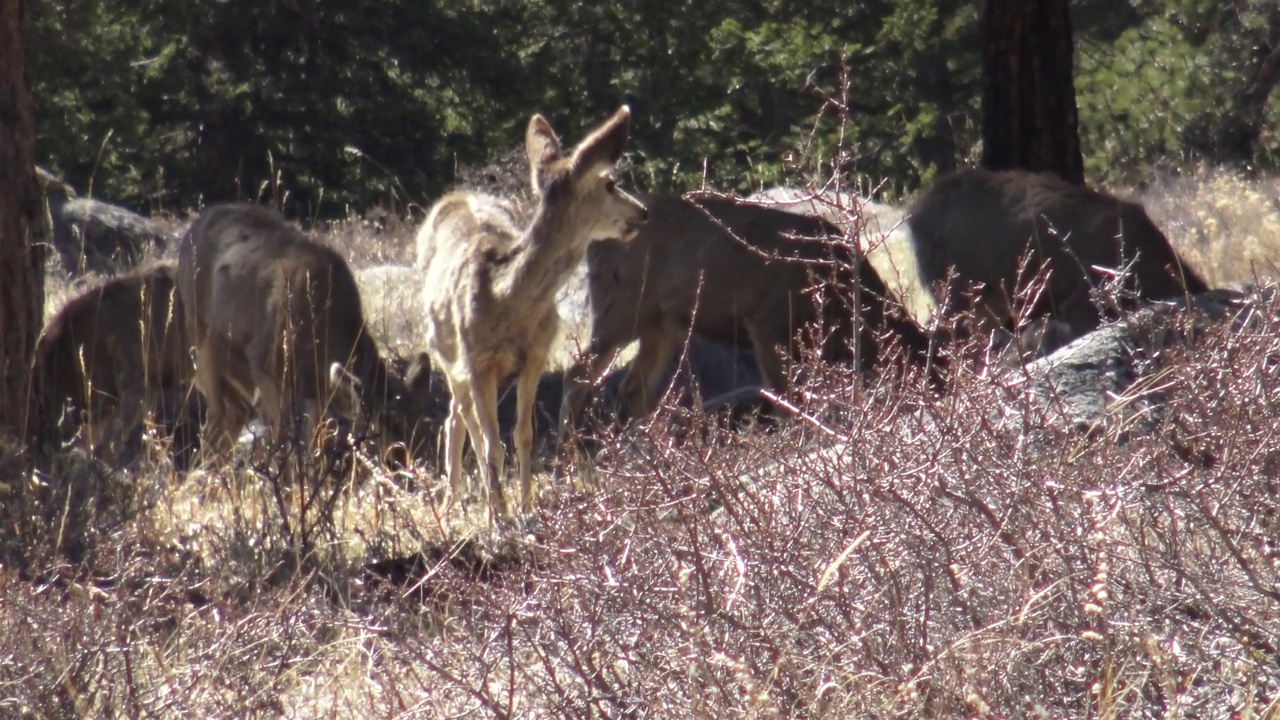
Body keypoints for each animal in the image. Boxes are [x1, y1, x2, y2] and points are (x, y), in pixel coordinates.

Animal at [177, 202, 427, 458]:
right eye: (382, 431)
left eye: (420, 429)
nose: (409, 462)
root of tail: (189, 233)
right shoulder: (264, 362)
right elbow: (280, 436)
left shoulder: (317, 387)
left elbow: (312, 439)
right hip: (200, 339)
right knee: (215, 419)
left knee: (232, 417)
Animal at [419, 103, 650, 515]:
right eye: (610, 183)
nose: (642, 212)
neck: (509, 301)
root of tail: (456, 197)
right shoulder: (477, 359)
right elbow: (492, 443)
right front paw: (498, 514)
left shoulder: (537, 355)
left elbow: (522, 434)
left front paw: (526, 505)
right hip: (445, 352)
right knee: (460, 421)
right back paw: (452, 501)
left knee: (457, 418)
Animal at [558, 192, 931, 438]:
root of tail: (593, 243)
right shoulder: (766, 322)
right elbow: (784, 397)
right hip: (622, 307)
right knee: (577, 376)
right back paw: (571, 462)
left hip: (663, 324)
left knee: (635, 388)